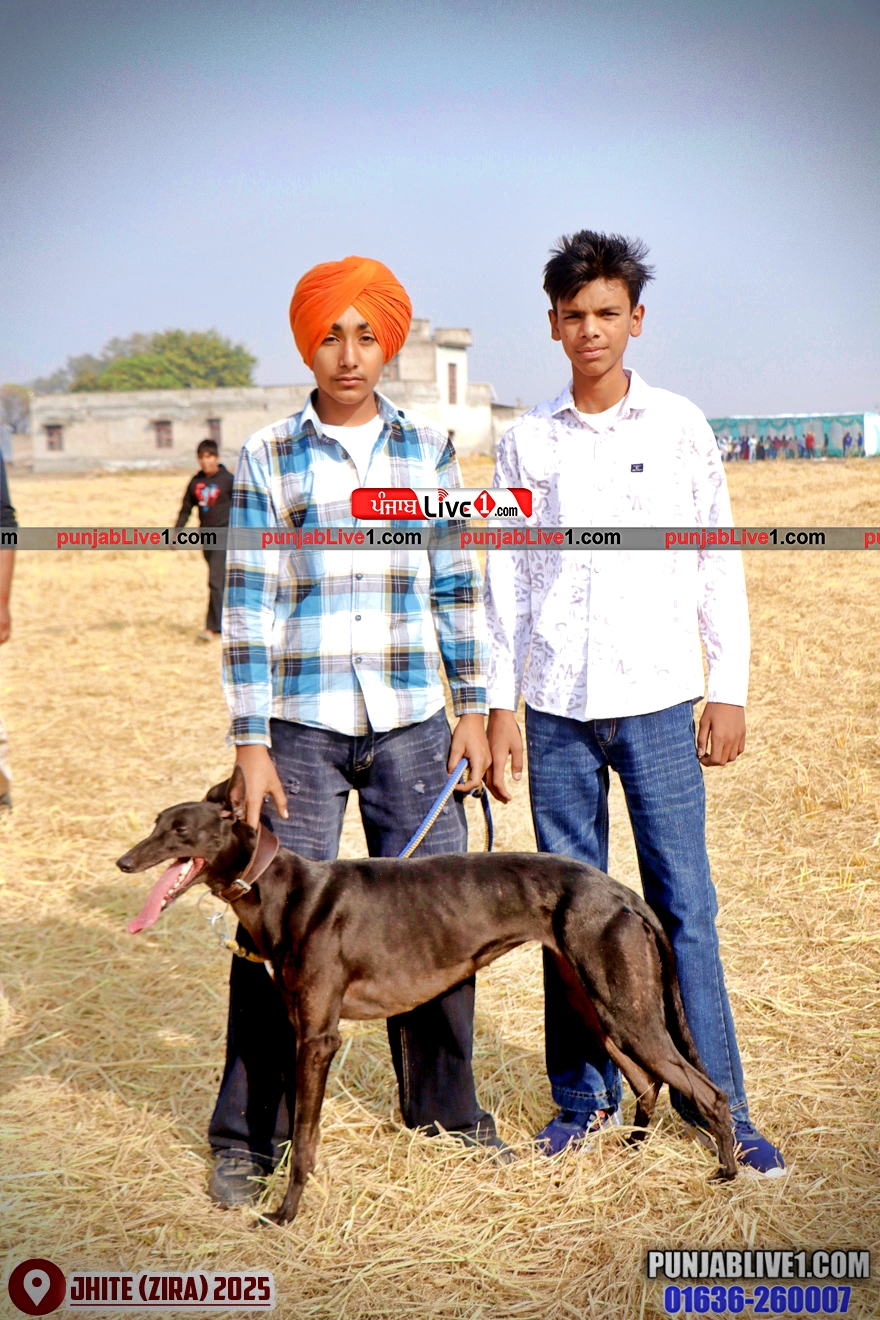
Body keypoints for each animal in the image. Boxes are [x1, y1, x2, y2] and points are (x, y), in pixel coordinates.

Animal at [117, 765, 736, 1224]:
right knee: (648, 1081)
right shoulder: (299, 1031)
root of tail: (622, 893)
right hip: (594, 1005)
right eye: (156, 824)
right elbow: (296, 1128)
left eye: (180, 831)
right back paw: (632, 1153)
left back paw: (726, 1172)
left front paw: (286, 1214)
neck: (282, 889)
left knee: (708, 1090)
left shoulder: (318, 1038)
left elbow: (304, 1137)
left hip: (627, 1011)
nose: (124, 861)